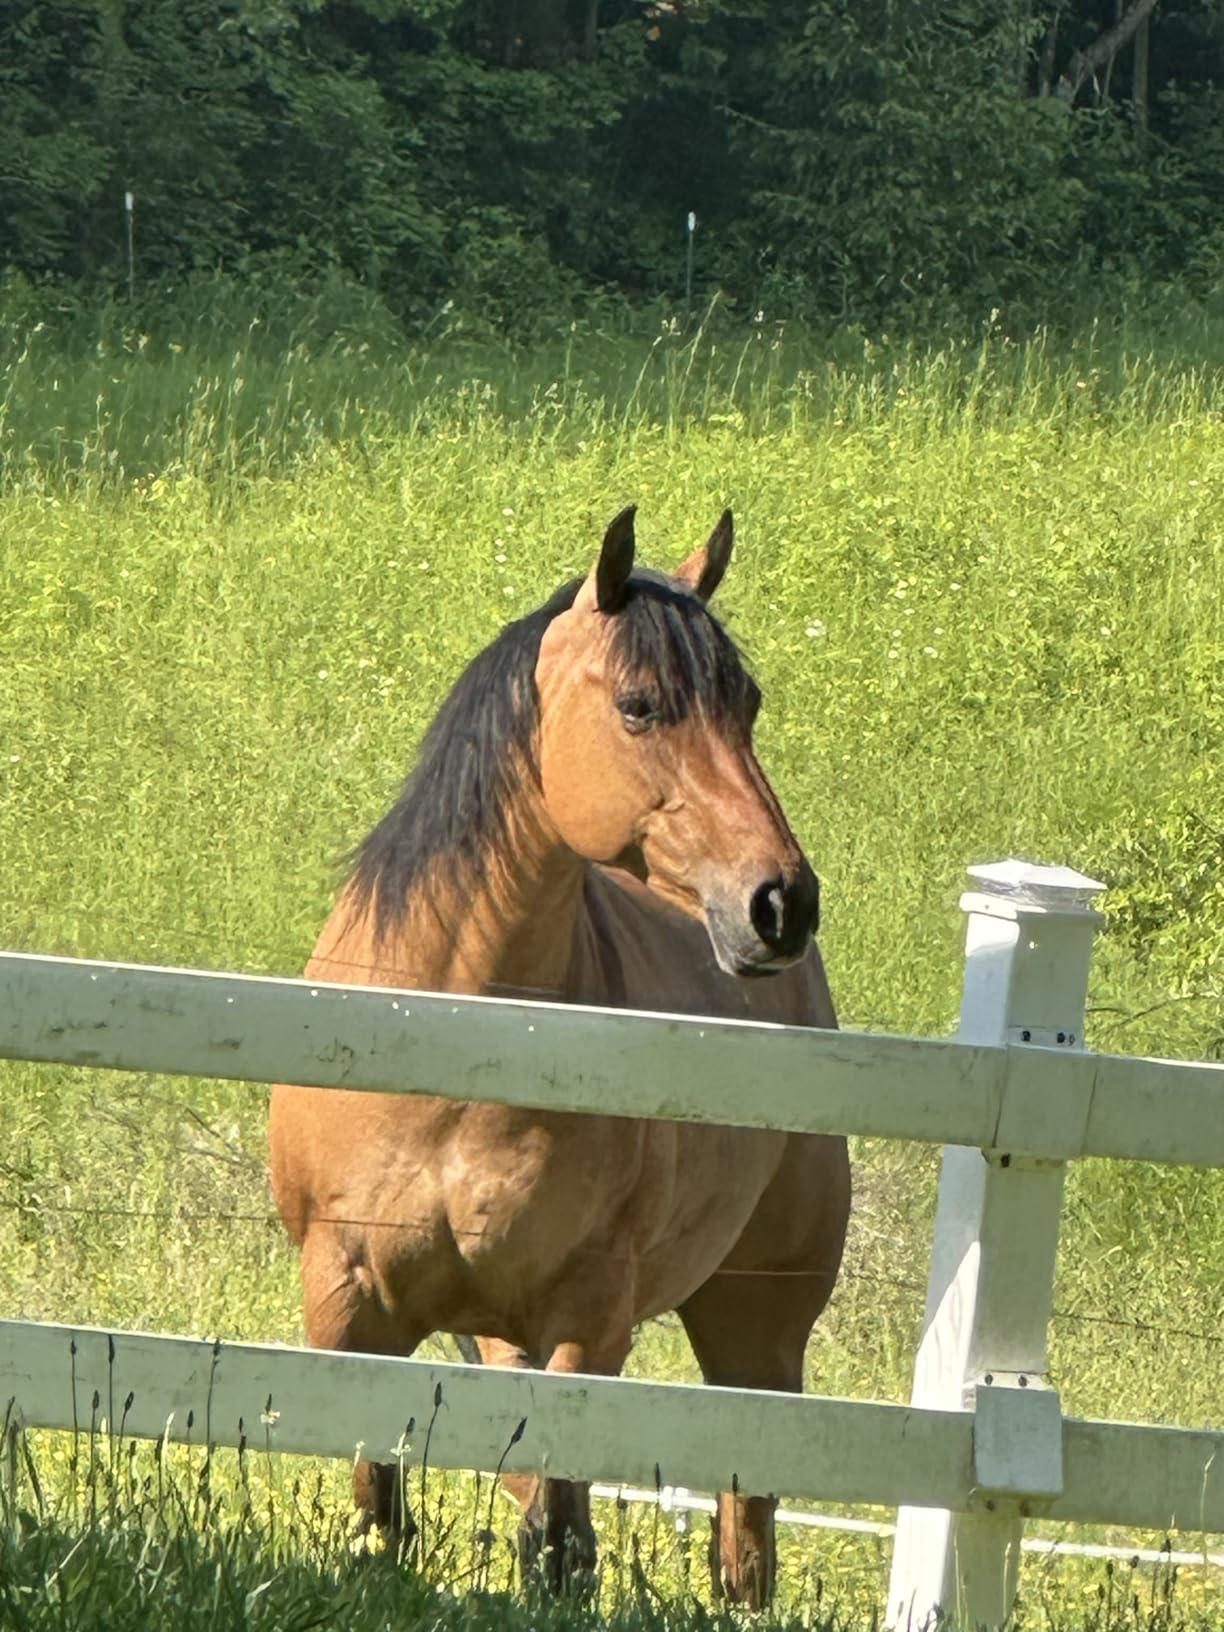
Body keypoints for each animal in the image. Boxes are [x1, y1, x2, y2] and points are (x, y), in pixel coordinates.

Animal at [268, 507, 851, 1607]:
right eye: (639, 705)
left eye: (747, 704)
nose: (780, 903)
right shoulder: (349, 1305)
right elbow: (385, 1517)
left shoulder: (583, 1321)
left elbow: (563, 1546)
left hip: (756, 1330)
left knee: (745, 1541)